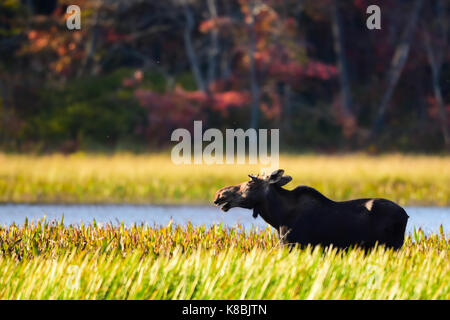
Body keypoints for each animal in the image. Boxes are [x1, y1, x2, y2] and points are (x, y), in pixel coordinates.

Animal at [214, 170, 408, 250]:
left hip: (391, 246)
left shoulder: (294, 244)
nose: (219, 194)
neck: (278, 217)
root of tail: (406, 215)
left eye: (250, 182)